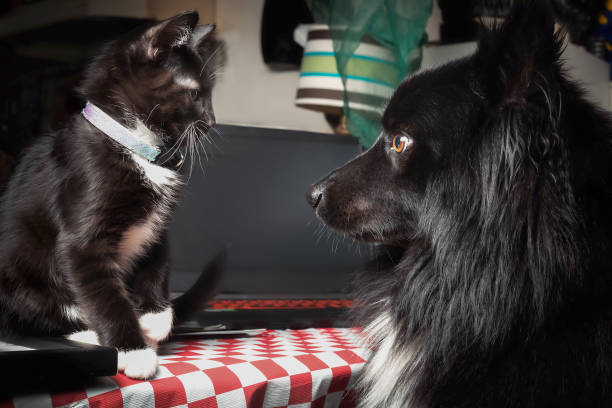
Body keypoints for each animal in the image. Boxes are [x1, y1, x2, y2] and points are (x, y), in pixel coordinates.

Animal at [0, 10, 225, 380]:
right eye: (195, 94)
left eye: (208, 94)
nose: (212, 121)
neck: (136, 145)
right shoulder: (83, 235)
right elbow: (105, 294)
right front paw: (134, 350)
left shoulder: (155, 224)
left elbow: (158, 262)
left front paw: (155, 319)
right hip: (21, 279)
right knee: (35, 318)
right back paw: (89, 335)